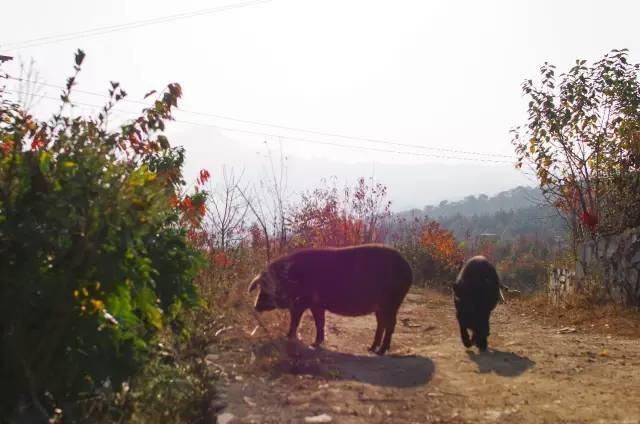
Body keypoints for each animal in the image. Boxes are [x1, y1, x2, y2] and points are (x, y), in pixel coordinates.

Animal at [248, 243, 412, 356]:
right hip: (380, 307)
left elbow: (297, 321)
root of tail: (408, 269)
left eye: (268, 287)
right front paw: (314, 343)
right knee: (381, 324)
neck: (292, 279)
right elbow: (319, 323)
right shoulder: (317, 305)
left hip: (393, 302)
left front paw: (292, 338)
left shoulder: (303, 303)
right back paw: (370, 348)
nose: (255, 306)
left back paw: (380, 352)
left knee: (390, 325)